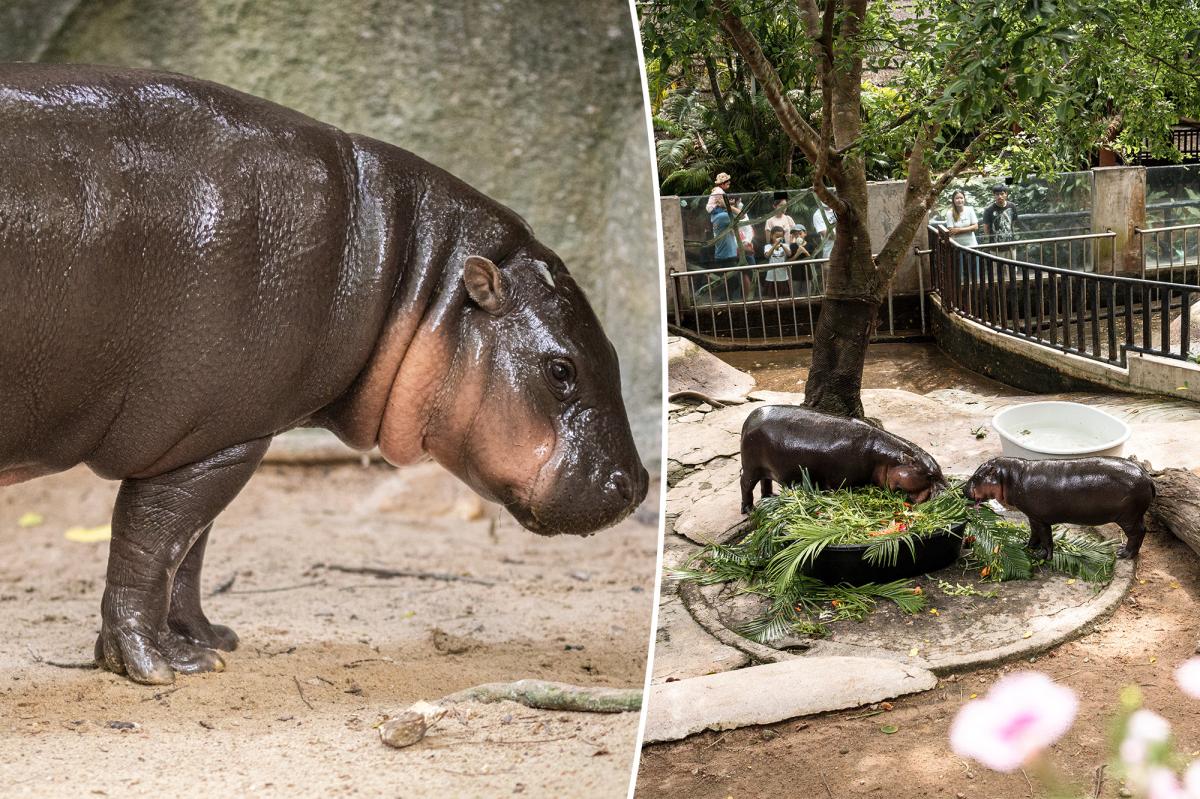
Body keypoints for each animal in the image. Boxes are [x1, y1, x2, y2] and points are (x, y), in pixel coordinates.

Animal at [0, 64, 648, 685]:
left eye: (615, 354)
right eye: (561, 369)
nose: (637, 485)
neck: (404, 271)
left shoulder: (209, 440)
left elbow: (190, 550)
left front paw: (210, 642)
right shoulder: (206, 436)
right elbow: (152, 546)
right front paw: (159, 667)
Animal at [739, 405, 946, 514]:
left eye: (940, 470)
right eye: (930, 475)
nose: (947, 490)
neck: (885, 456)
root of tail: (749, 418)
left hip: (765, 469)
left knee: (765, 482)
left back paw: (769, 497)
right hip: (750, 467)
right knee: (746, 485)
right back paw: (749, 510)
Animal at [964, 457, 1155, 561]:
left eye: (976, 476)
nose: (962, 489)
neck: (1010, 477)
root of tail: (1147, 476)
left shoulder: (1040, 519)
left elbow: (1046, 538)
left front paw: (1042, 556)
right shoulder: (1032, 517)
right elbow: (1034, 534)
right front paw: (1026, 546)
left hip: (1128, 517)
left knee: (1138, 532)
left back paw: (1123, 553)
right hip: (1133, 516)